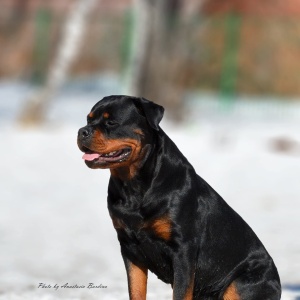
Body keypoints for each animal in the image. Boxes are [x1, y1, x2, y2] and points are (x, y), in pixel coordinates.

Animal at [77, 96, 282, 300]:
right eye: (88, 120)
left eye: (111, 122)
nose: (82, 131)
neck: (133, 187)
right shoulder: (129, 248)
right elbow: (136, 291)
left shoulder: (183, 250)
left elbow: (181, 292)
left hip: (239, 284)